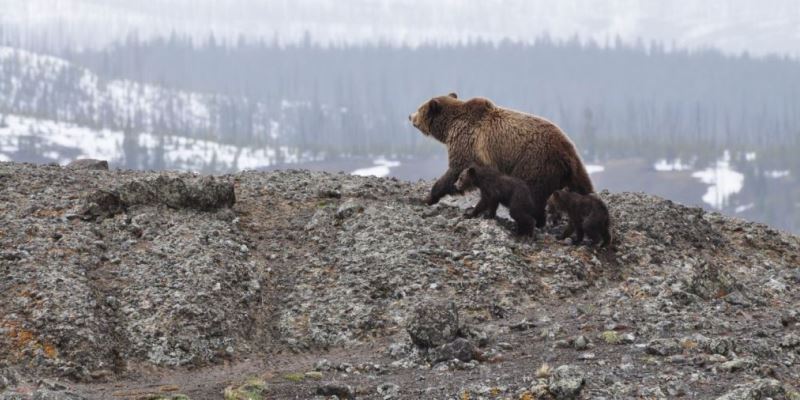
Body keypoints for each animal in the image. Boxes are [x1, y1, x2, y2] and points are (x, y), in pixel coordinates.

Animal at [412, 92, 592, 227]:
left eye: (419, 108)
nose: (410, 116)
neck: (450, 127)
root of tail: (567, 152)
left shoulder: (467, 143)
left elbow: (454, 171)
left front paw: (427, 198)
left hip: (534, 162)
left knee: (532, 193)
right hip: (570, 170)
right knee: (582, 187)